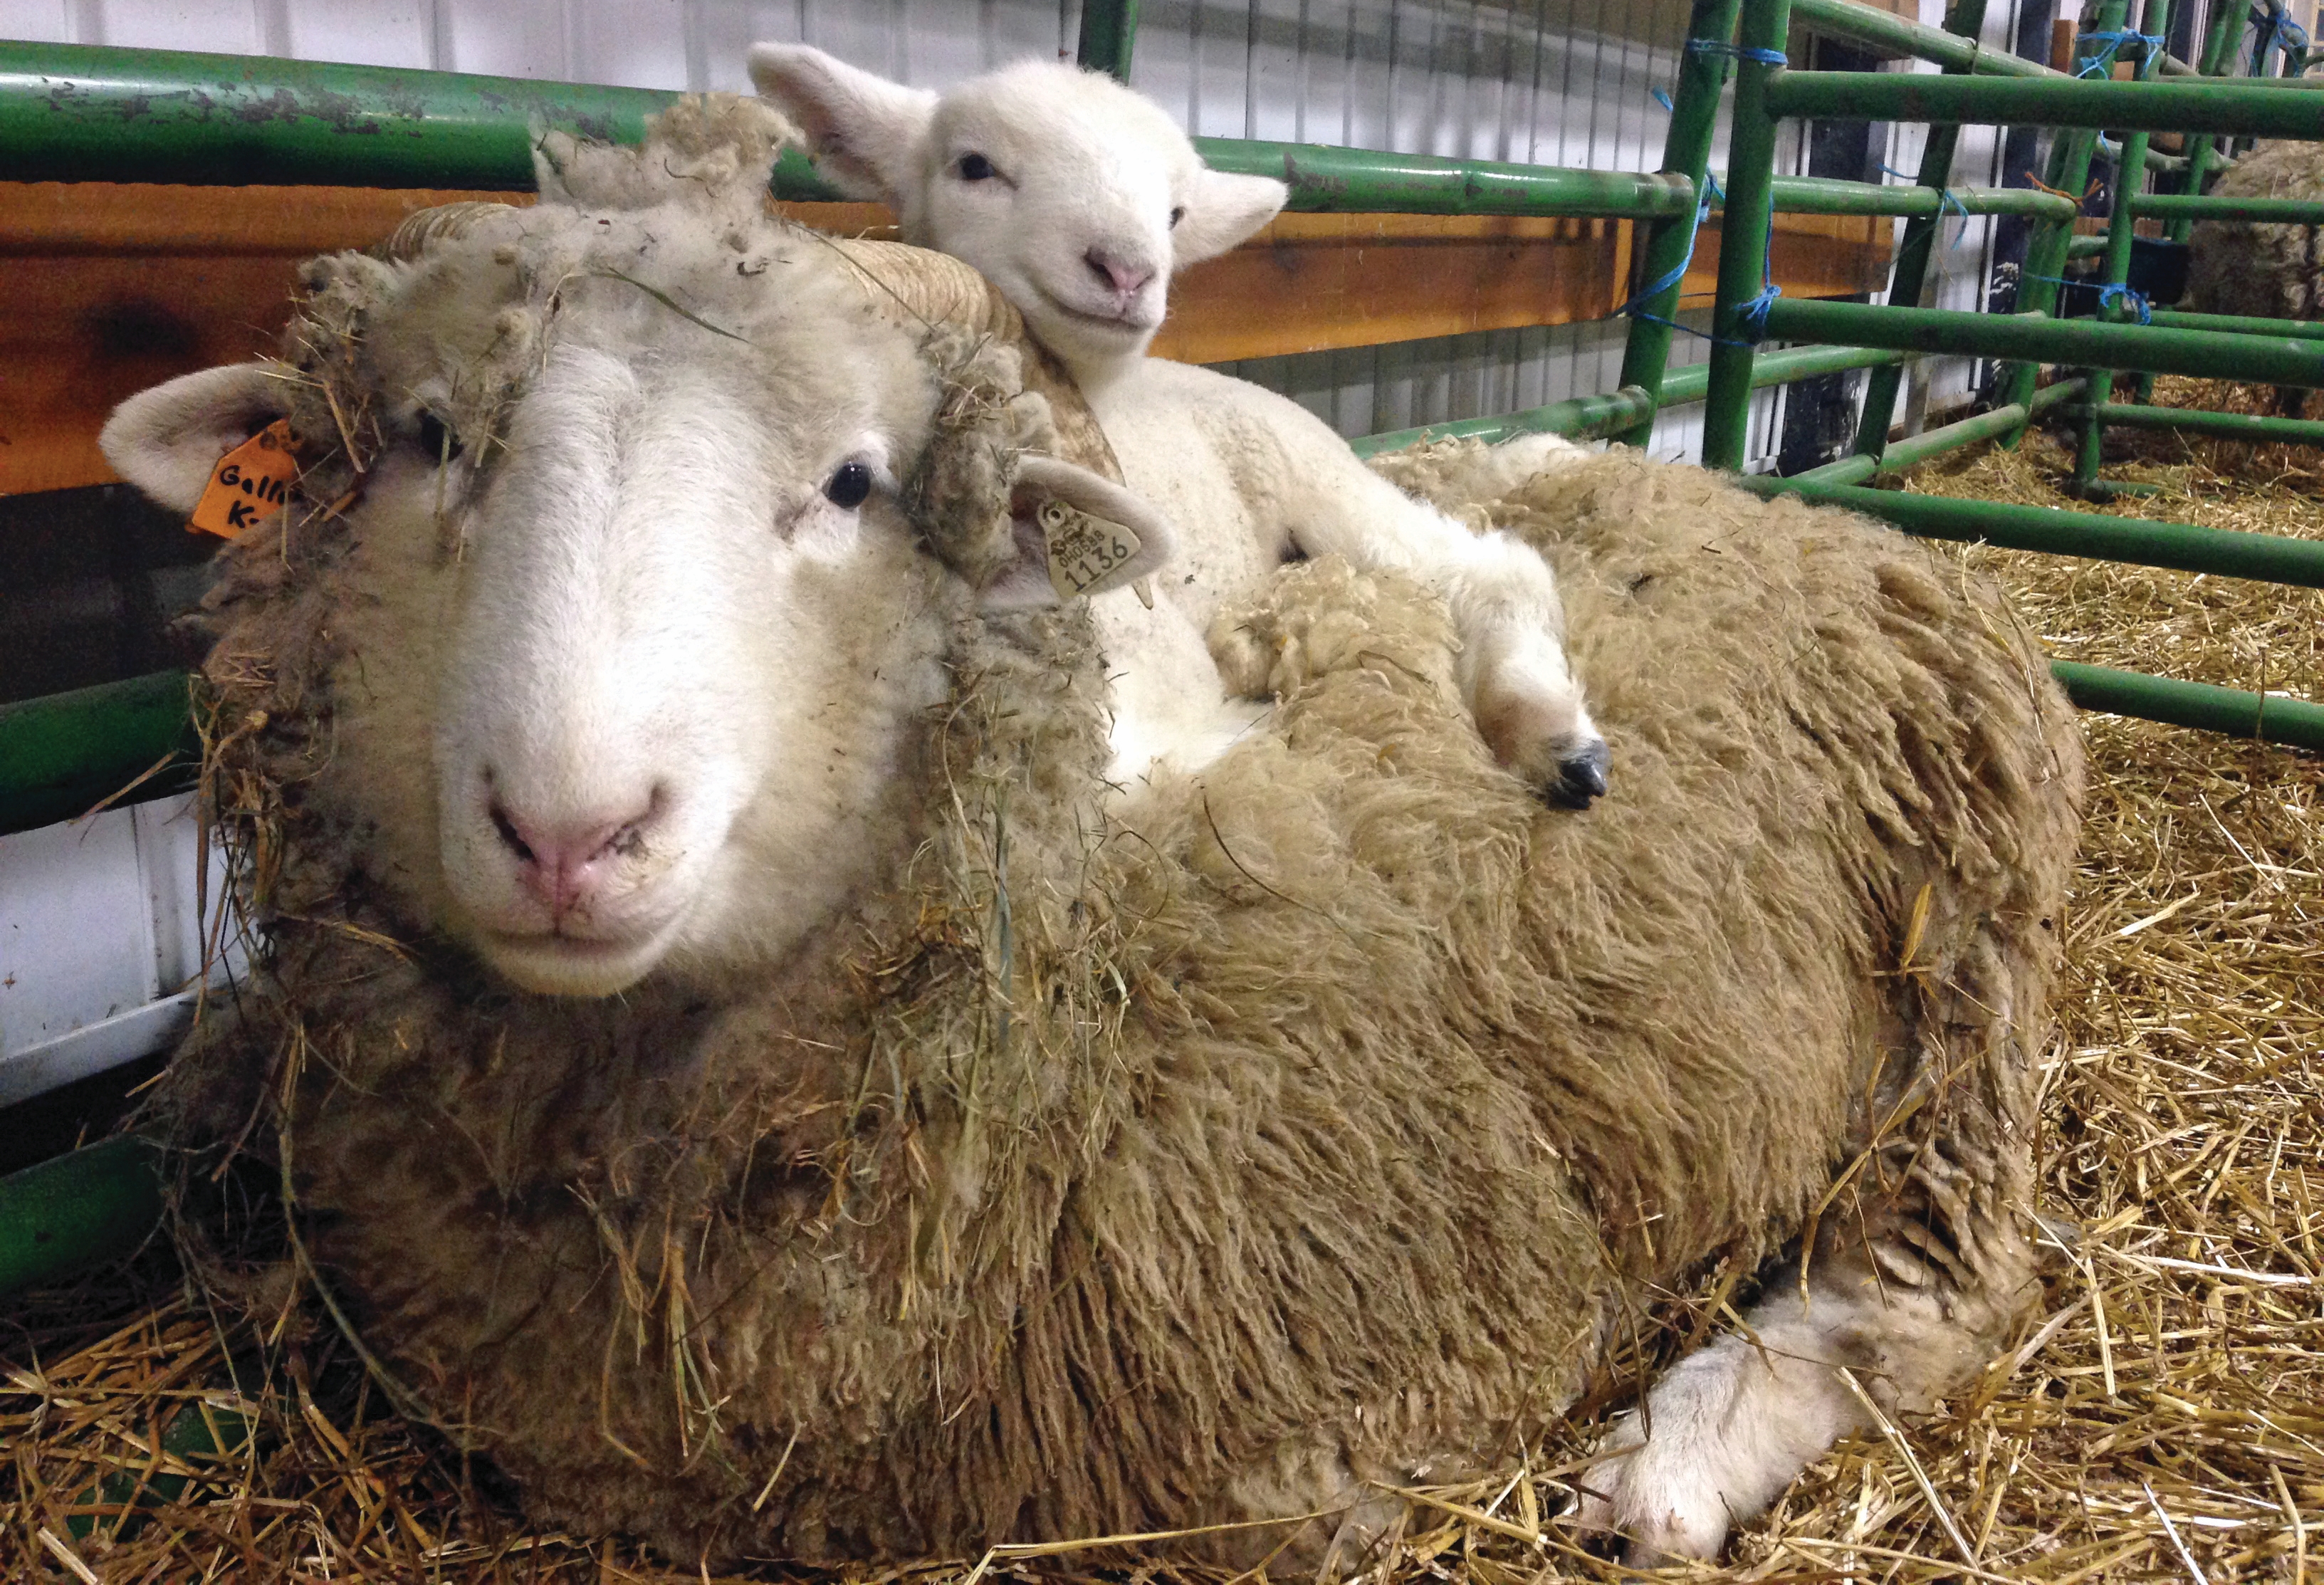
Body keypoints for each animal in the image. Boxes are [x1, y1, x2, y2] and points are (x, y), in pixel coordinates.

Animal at [747, 47, 1610, 807]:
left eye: (1175, 213)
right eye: (974, 167)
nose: (1128, 270)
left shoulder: (1176, 688)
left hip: (1316, 477)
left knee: (1490, 566)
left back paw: (1552, 735)